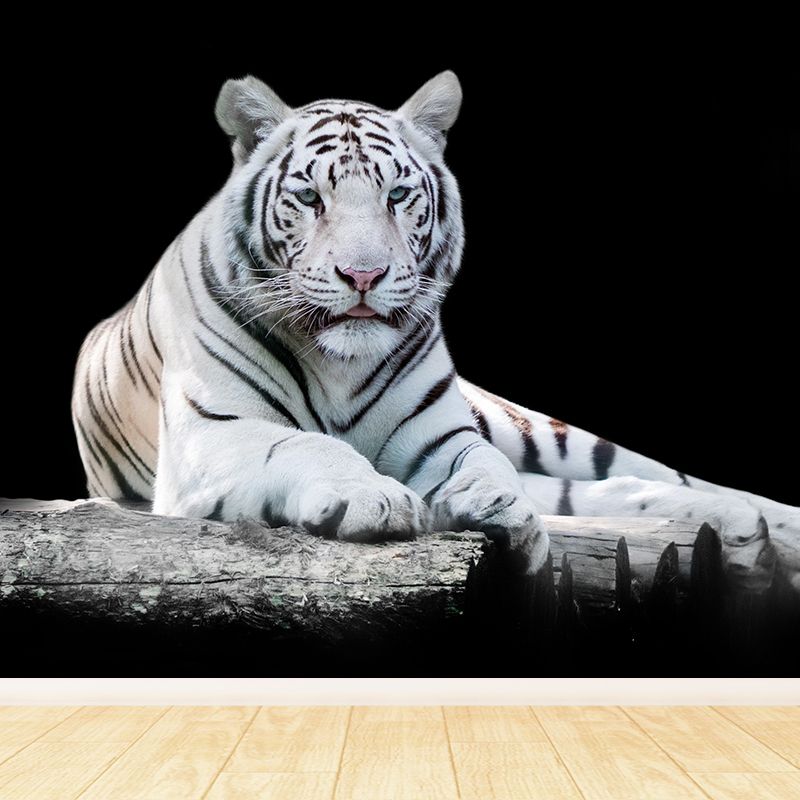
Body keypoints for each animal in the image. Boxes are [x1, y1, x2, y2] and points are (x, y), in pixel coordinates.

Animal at [71, 71, 798, 591]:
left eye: (396, 196)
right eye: (310, 198)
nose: (363, 275)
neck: (338, 365)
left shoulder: (440, 435)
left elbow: (482, 462)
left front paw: (499, 508)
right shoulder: (209, 436)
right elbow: (307, 445)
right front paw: (374, 497)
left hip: (526, 424)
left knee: (634, 472)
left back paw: (761, 524)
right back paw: (742, 531)